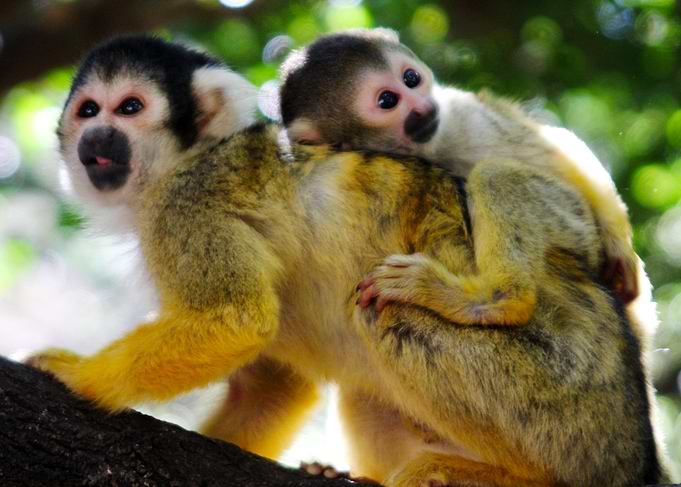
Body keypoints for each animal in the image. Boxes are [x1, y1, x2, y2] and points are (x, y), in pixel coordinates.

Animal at [278, 28, 640, 330]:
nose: (423, 108)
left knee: (497, 175)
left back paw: (498, 300)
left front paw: (621, 248)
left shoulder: (457, 105)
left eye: (411, 78)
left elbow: (560, 143)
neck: (434, 143)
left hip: (576, 223)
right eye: (387, 100)